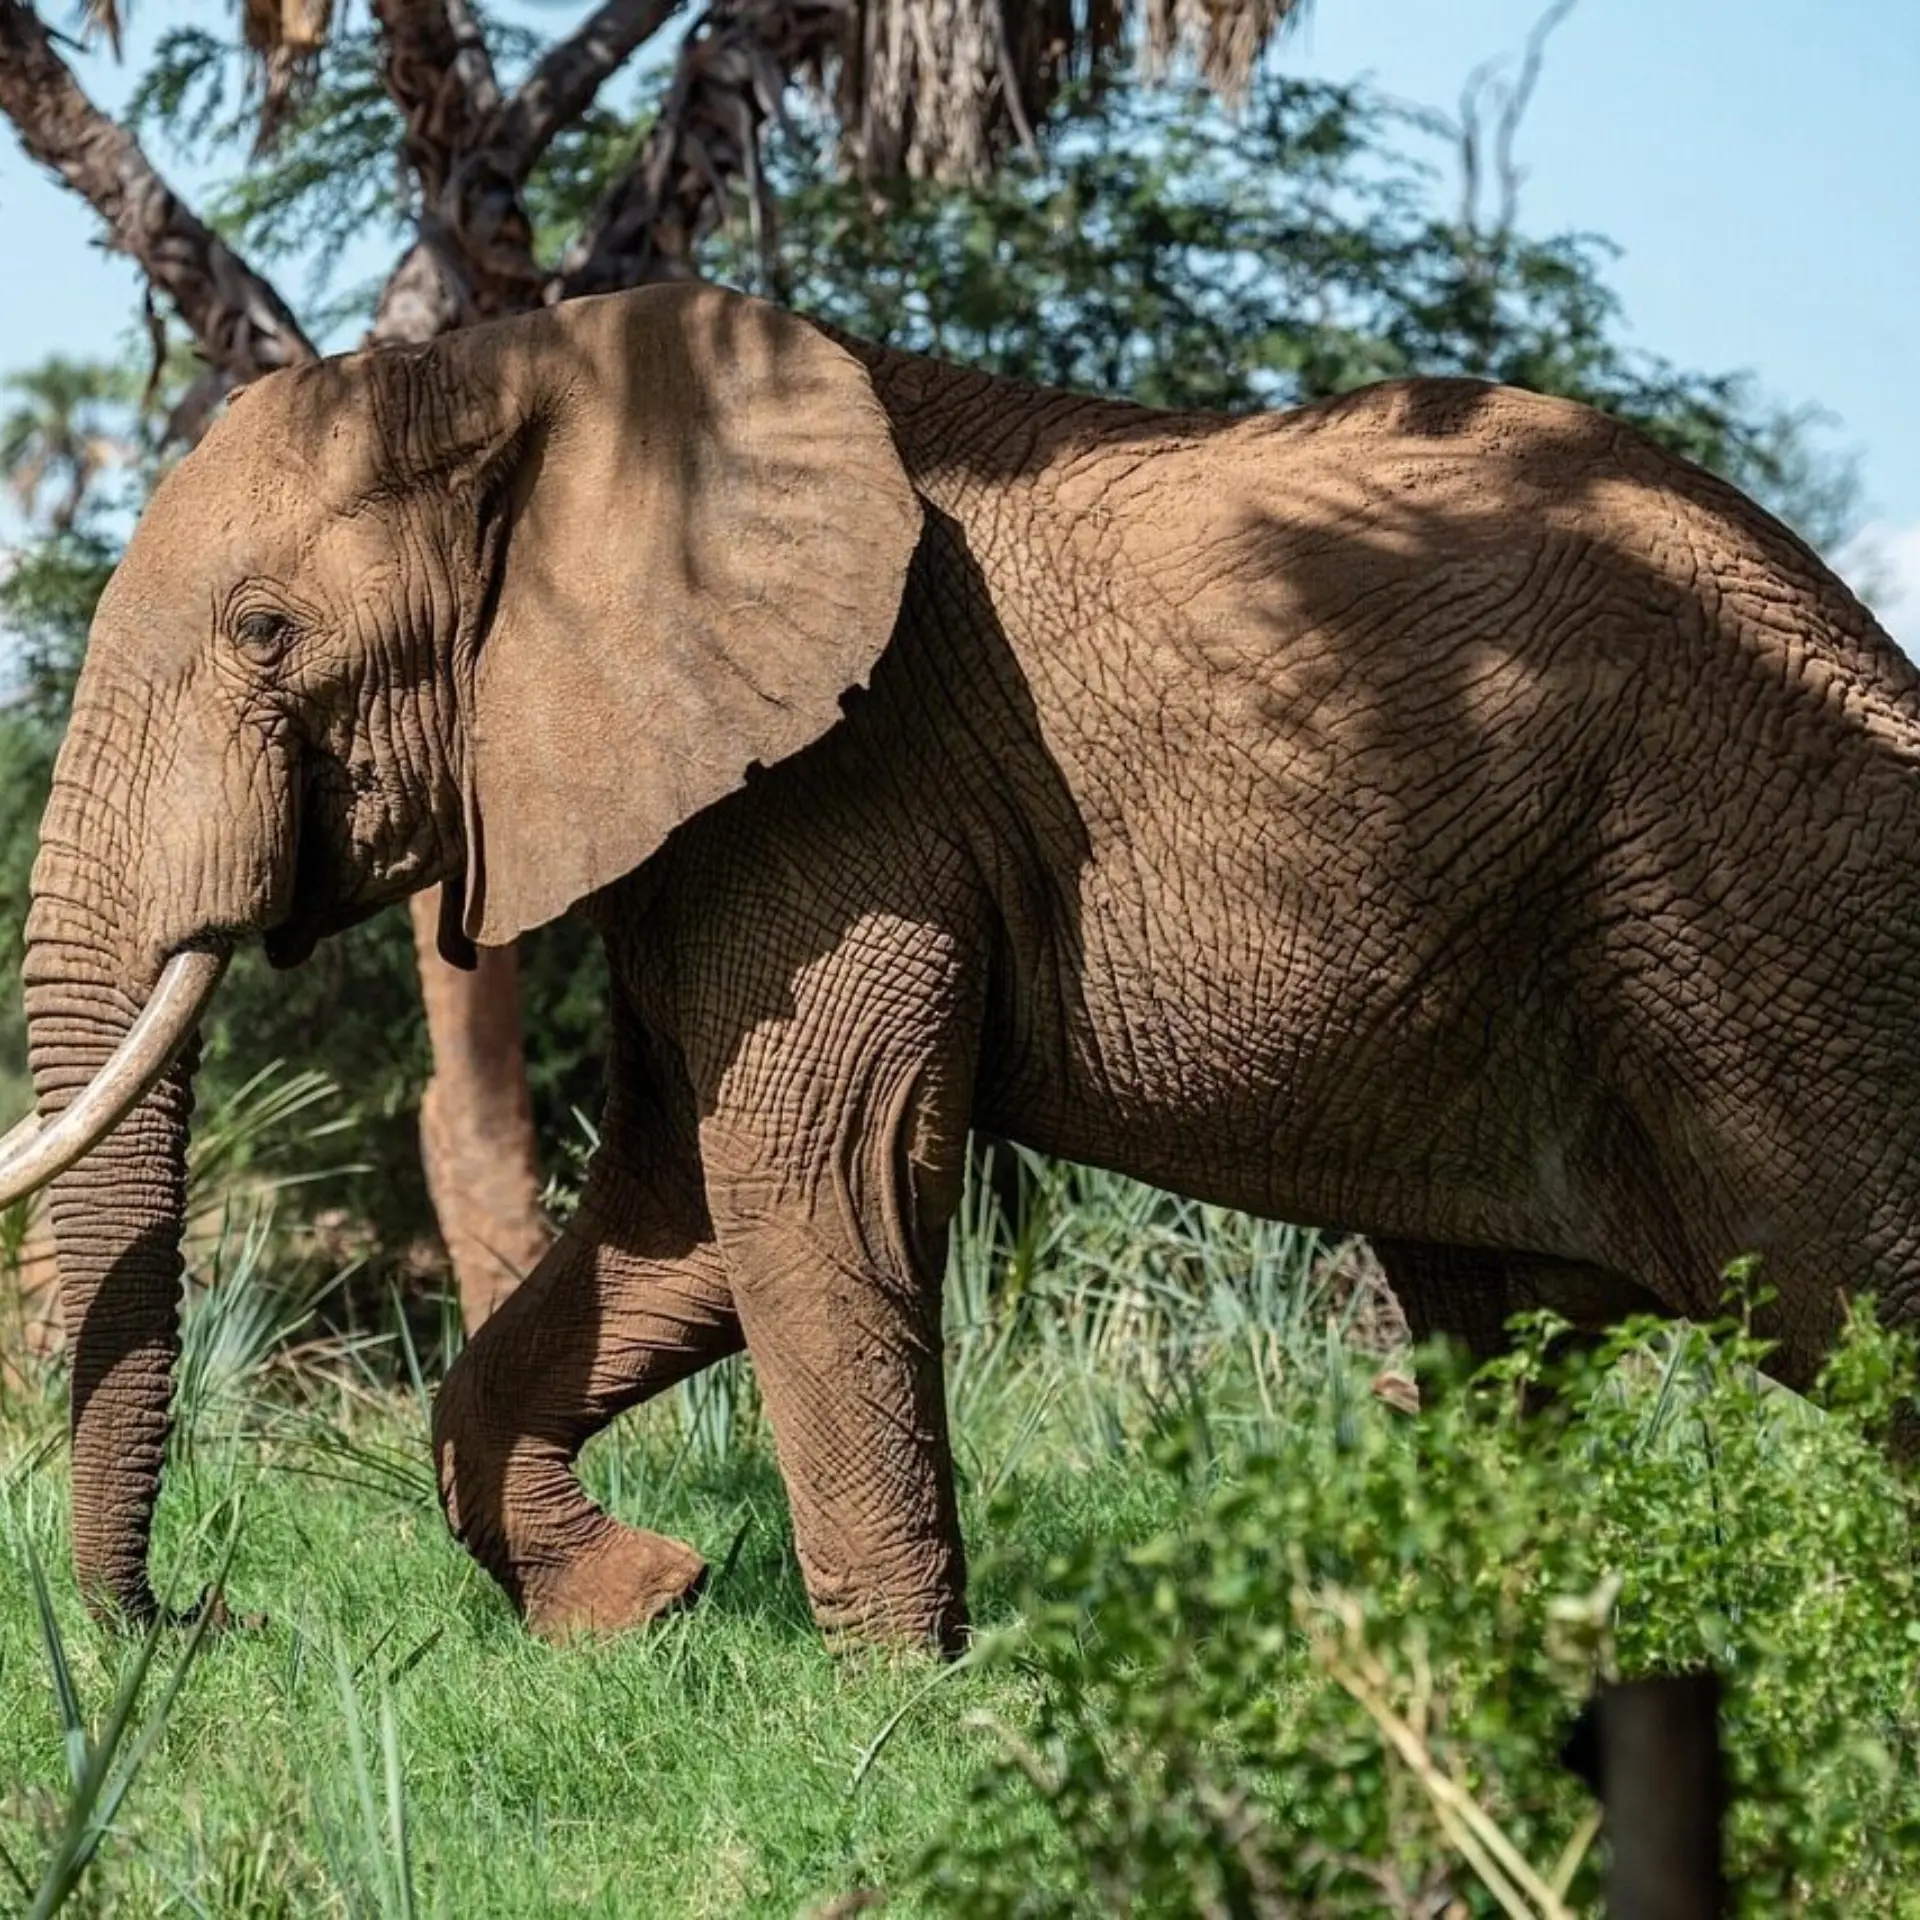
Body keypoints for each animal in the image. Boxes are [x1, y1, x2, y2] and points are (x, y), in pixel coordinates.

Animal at [6, 279, 1918, 1650]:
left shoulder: (858, 779)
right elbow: (676, 1213)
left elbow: (809, 1175)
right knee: (1502, 1333)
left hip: (1752, 914)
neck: (527, 366)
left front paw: (890, 1708)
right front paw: (637, 1610)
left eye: (265, 635)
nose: (199, 1621)